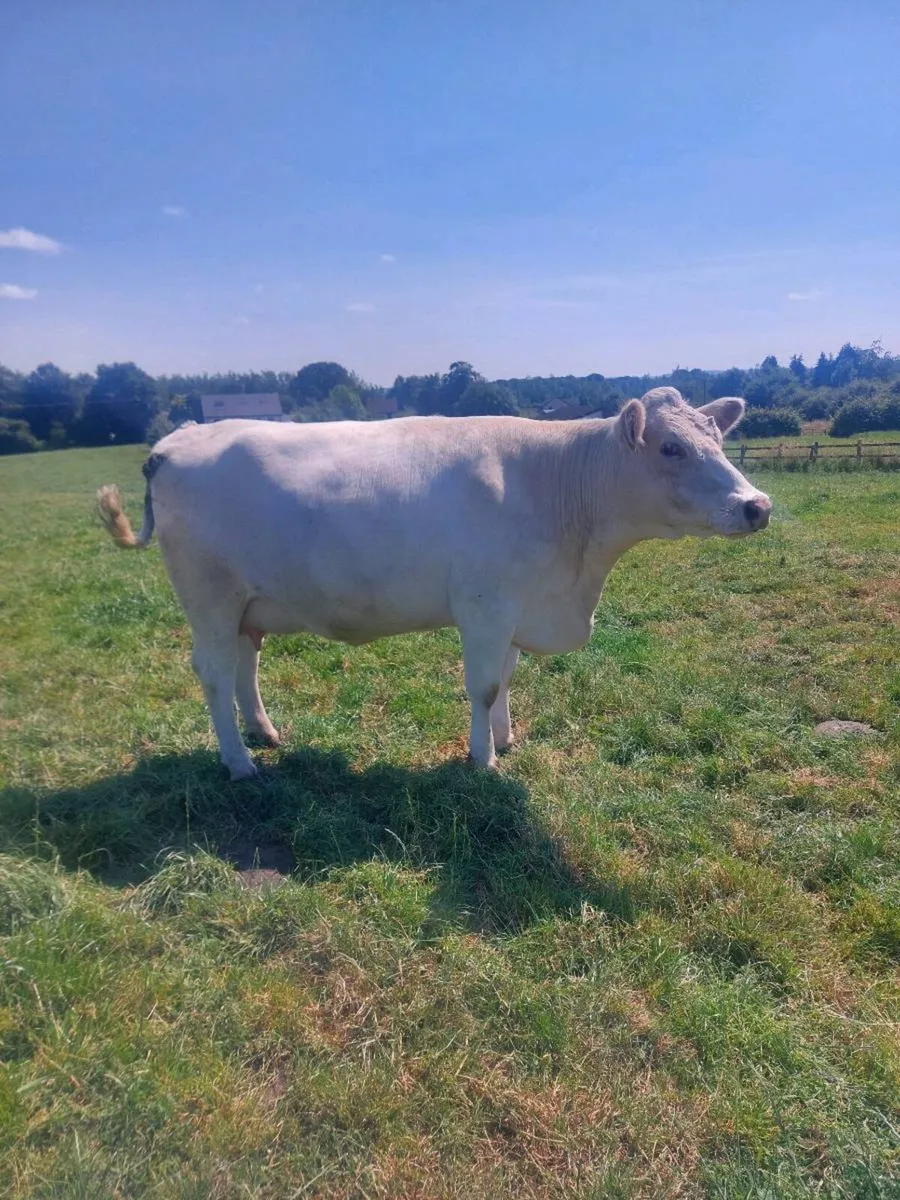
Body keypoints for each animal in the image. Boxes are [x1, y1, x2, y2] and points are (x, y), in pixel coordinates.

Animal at [96, 387, 771, 780]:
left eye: (719, 438)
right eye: (669, 447)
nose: (756, 505)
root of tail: (174, 440)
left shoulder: (514, 609)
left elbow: (507, 681)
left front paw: (506, 738)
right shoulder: (485, 607)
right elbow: (485, 685)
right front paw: (483, 759)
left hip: (247, 602)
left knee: (245, 661)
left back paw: (263, 733)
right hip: (208, 597)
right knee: (213, 672)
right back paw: (239, 763)